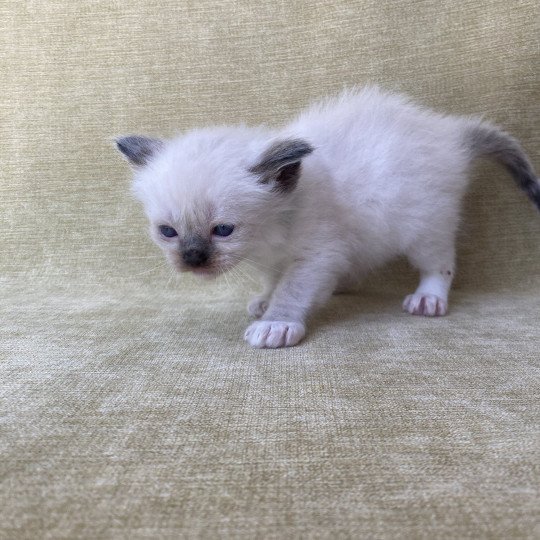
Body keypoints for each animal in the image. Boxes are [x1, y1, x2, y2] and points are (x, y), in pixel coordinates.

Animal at [116, 87, 536, 350]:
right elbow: (275, 282)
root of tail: (448, 133)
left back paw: (428, 298)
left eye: (222, 230)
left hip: (425, 225)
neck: (270, 237)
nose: (192, 258)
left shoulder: (316, 255)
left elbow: (292, 290)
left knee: (440, 263)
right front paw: (264, 301)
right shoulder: (283, 259)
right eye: (168, 232)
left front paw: (276, 323)